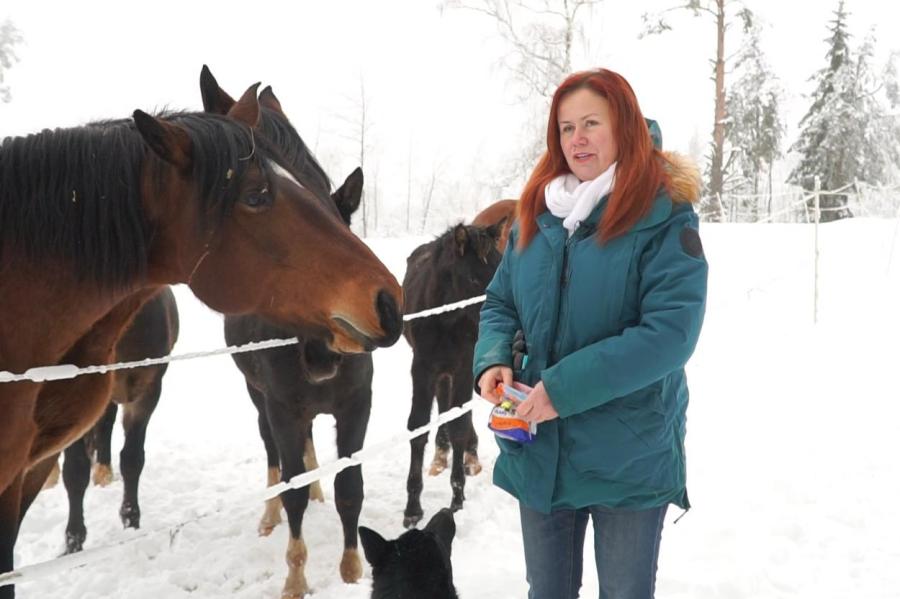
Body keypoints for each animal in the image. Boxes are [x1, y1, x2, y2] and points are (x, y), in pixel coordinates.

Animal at [0, 86, 400, 596]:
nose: (388, 301)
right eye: (256, 195)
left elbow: (351, 488)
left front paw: (351, 571)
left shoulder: (355, 405)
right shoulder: (280, 407)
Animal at [402, 223, 506, 528]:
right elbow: (418, 428)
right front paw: (412, 508)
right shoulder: (423, 369)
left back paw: (469, 456)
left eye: (499, 266)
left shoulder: (463, 368)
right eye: (473, 277)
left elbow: (459, 424)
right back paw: (440, 455)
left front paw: (457, 499)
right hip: (440, 373)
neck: (445, 318)